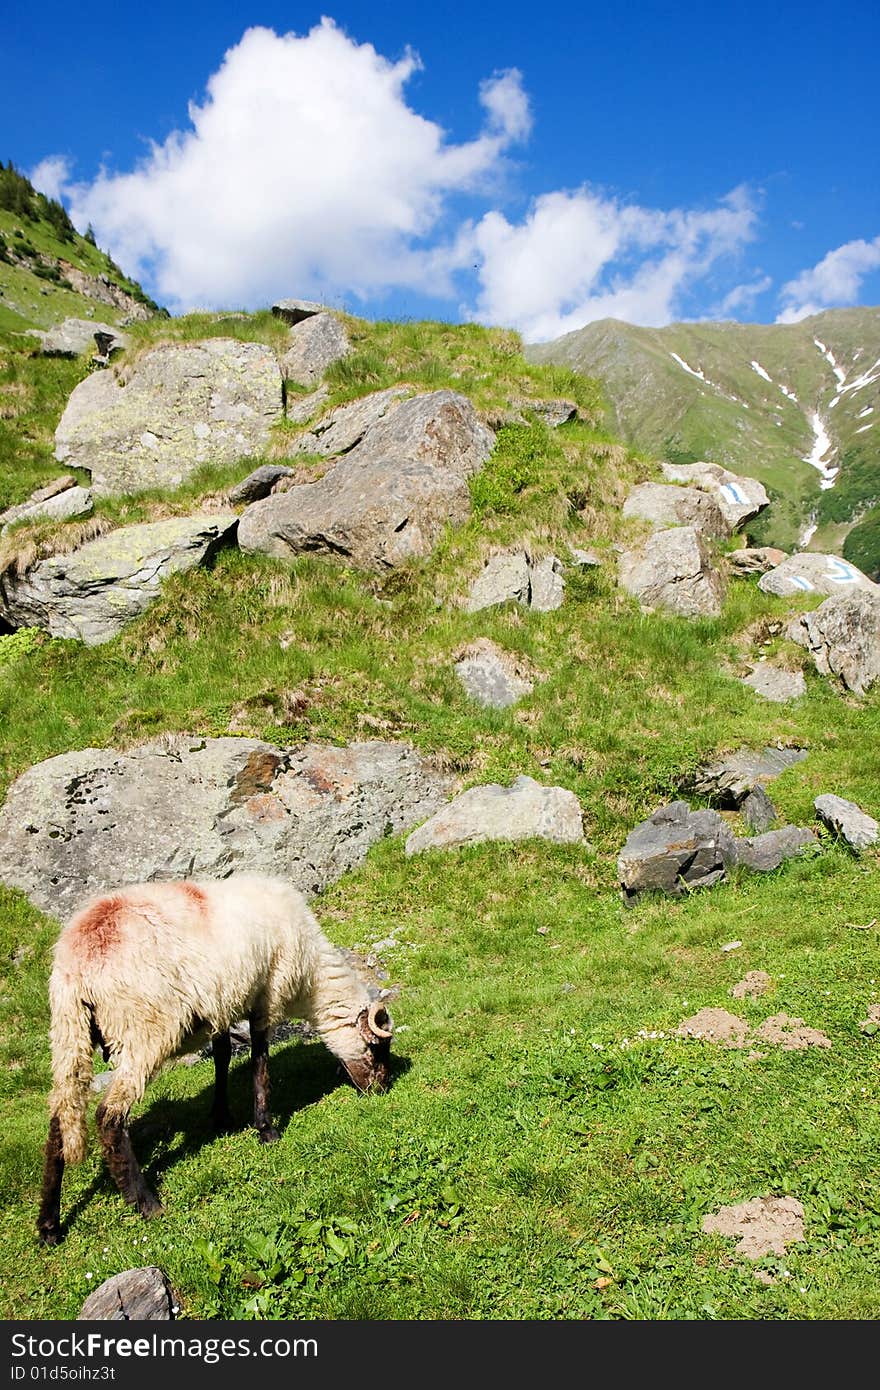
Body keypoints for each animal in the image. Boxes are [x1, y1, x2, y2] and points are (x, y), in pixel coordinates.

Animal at [36, 872, 394, 1245]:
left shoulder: (223, 1004)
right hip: (141, 1031)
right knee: (109, 1116)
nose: (382, 1089)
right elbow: (260, 1064)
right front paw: (266, 1129)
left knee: (60, 1118)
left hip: (69, 1032)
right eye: (376, 1048)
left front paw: (221, 1115)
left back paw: (49, 1225)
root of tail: (78, 962)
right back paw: (146, 1203)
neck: (311, 980)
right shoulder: (267, 995)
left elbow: (222, 1057)